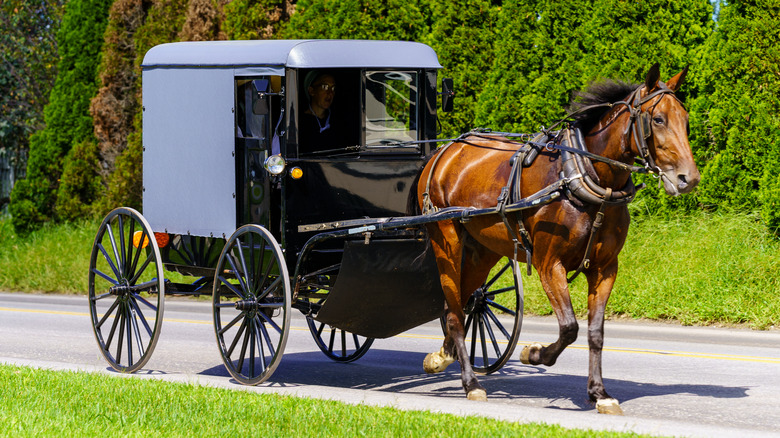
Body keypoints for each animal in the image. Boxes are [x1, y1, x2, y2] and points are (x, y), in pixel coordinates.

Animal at [412, 64, 696, 414]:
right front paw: (534, 353)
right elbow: (570, 327)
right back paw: (471, 383)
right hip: (446, 242)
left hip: (483, 249)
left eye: (685, 119)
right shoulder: (549, 264)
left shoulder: (605, 268)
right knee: (453, 312)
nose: (688, 178)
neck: (583, 177)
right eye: (657, 119)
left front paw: (599, 393)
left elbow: (595, 332)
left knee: (464, 301)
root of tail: (445, 151)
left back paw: (443, 355)